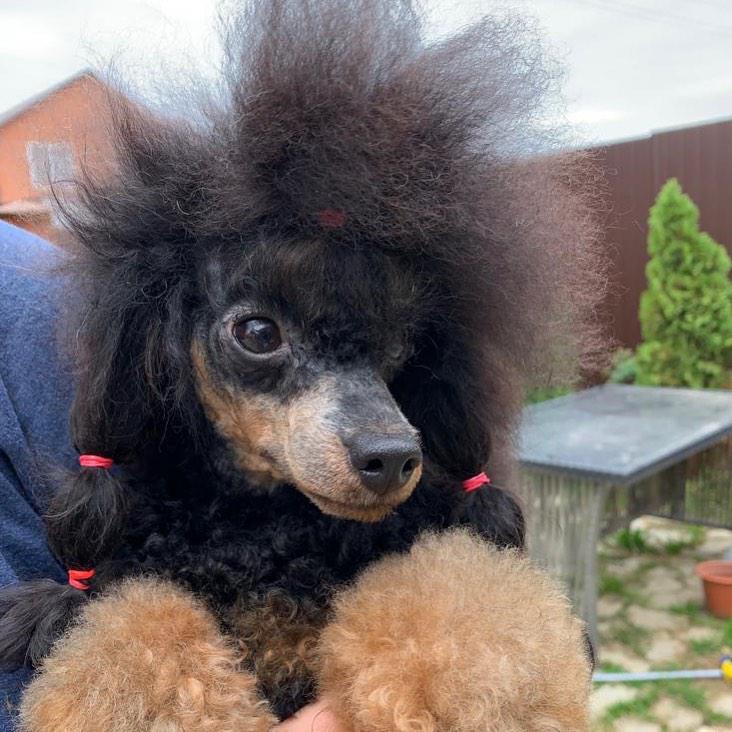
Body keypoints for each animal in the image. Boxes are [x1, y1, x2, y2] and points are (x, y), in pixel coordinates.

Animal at [0, 1, 603, 729]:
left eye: (401, 341)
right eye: (259, 333)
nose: (391, 457)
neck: (272, 535)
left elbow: (458, 604)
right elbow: (139, 636)